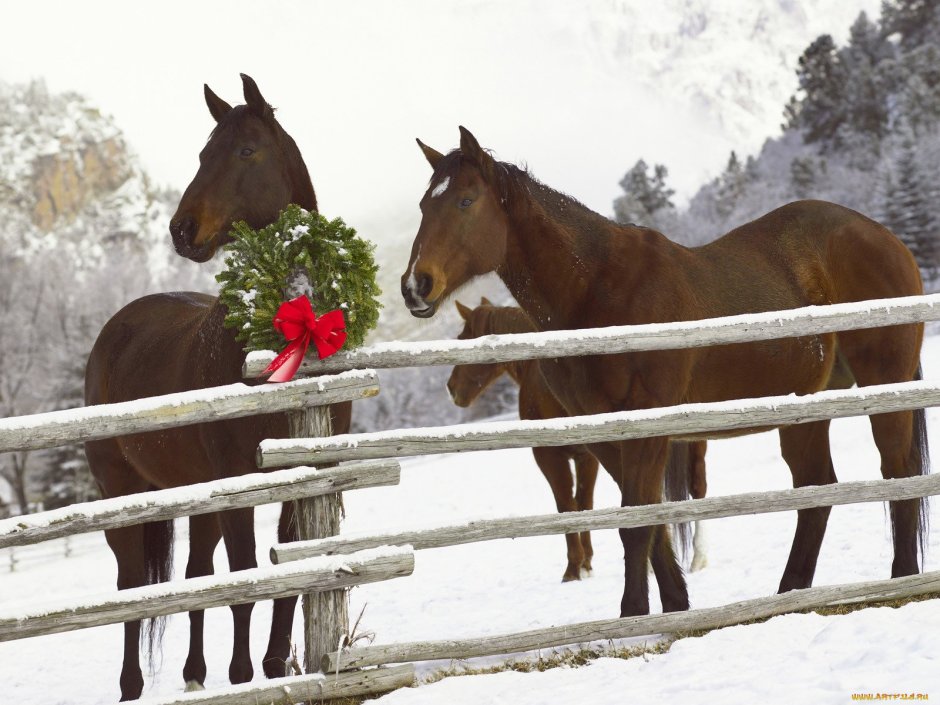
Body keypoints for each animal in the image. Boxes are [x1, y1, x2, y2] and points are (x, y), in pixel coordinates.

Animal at [83, 73, 348, 700]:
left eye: (246, 151)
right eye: (204, 154)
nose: (182, 231)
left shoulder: (300, 480)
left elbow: (284, 574)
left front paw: (272, 667)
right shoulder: (238, 483)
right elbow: (244, 580)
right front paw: (244, 675)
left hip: (198, 495)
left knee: (195, 575)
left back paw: (195, 673)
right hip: (123, 492)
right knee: (134, 585)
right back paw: (133, 684)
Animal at [452, 296, 708, 576]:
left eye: (462, 338)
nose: (451, 388)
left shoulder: (549, 456)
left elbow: (567, 505)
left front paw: (575, 568)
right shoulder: (588, 456)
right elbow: (584, 503)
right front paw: (586, 562)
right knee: (694, 487)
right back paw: (694, 558)